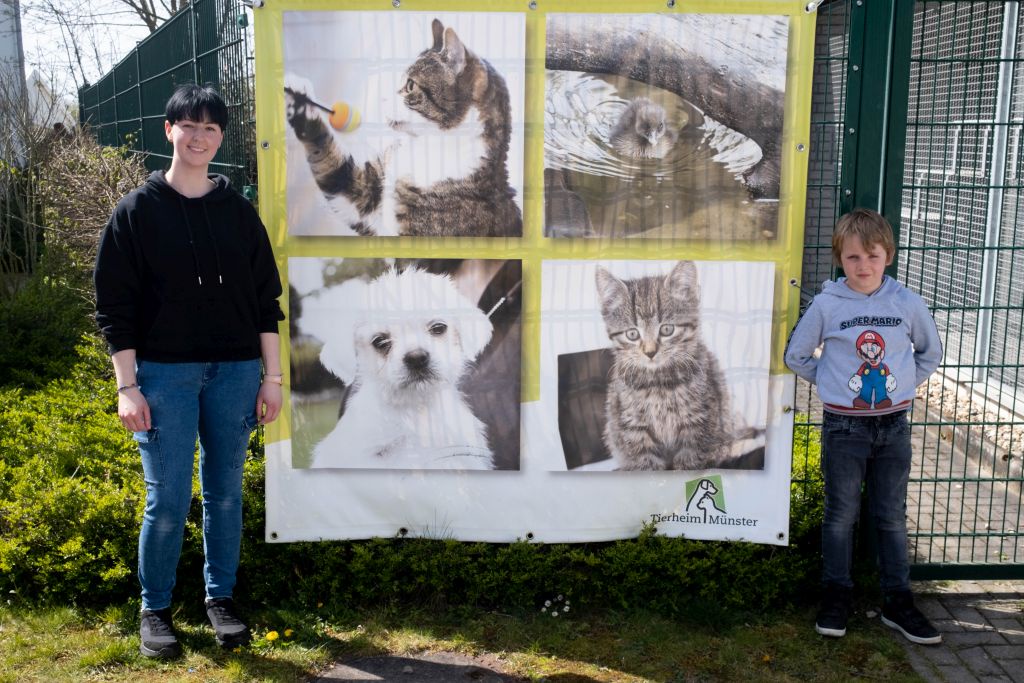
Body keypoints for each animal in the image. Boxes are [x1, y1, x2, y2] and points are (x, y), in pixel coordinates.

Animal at [286, 18, 520, 237]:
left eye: (410, 85)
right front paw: (300, 100)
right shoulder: (367, 192)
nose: (382, 98)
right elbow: (336, 174)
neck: (421, 149)